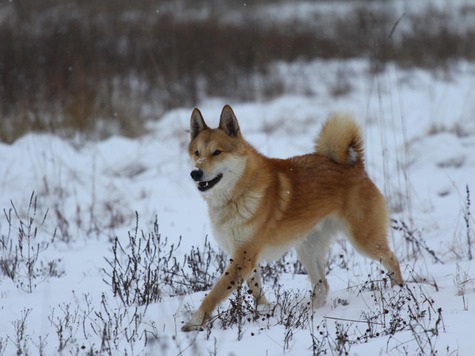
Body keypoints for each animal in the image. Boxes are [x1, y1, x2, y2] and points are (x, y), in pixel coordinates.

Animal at [181, 105, 402, 330]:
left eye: (217, 152)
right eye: (197, 153)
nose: (195, 173)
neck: (238, 192)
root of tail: (355, 166)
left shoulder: (244, 256)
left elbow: (214, 293)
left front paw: (194, 323)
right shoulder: (244, 257)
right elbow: (256, 289)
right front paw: (264, 312)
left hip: (363, 241)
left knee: (392, 259)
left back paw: (398, 292)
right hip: (307, 248)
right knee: (322, 286)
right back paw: (310, 312)